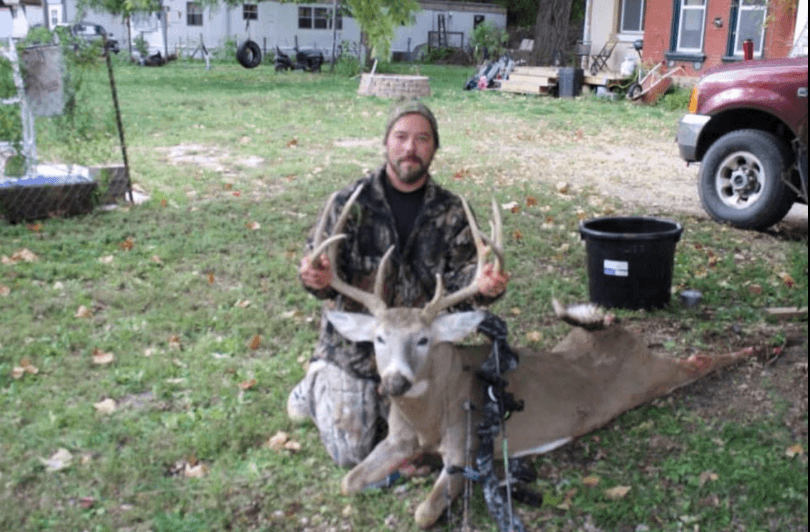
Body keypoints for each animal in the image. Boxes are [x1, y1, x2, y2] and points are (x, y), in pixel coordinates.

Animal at [303, 184, 755, 529]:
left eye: (424, 340)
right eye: (379, 338)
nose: (395, 381)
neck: (426, 418)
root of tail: (622, 333)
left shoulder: (465, 448)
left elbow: (423, 512)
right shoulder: (397, 439)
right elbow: (348, 481)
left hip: (653, 375)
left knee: (699, 362)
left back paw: (753, 349)